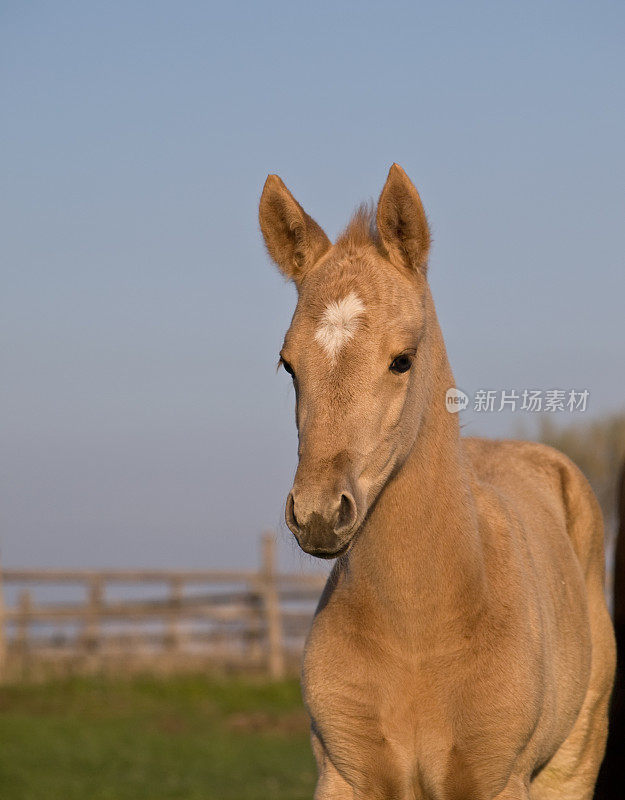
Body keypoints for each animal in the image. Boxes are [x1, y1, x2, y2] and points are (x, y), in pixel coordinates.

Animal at [258, 164, 616, 800]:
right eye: (288, 364)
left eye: (402, 359)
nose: (319, 514)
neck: (420, 634)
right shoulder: (344, 777)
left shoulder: (500, 782)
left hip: (573, 761)